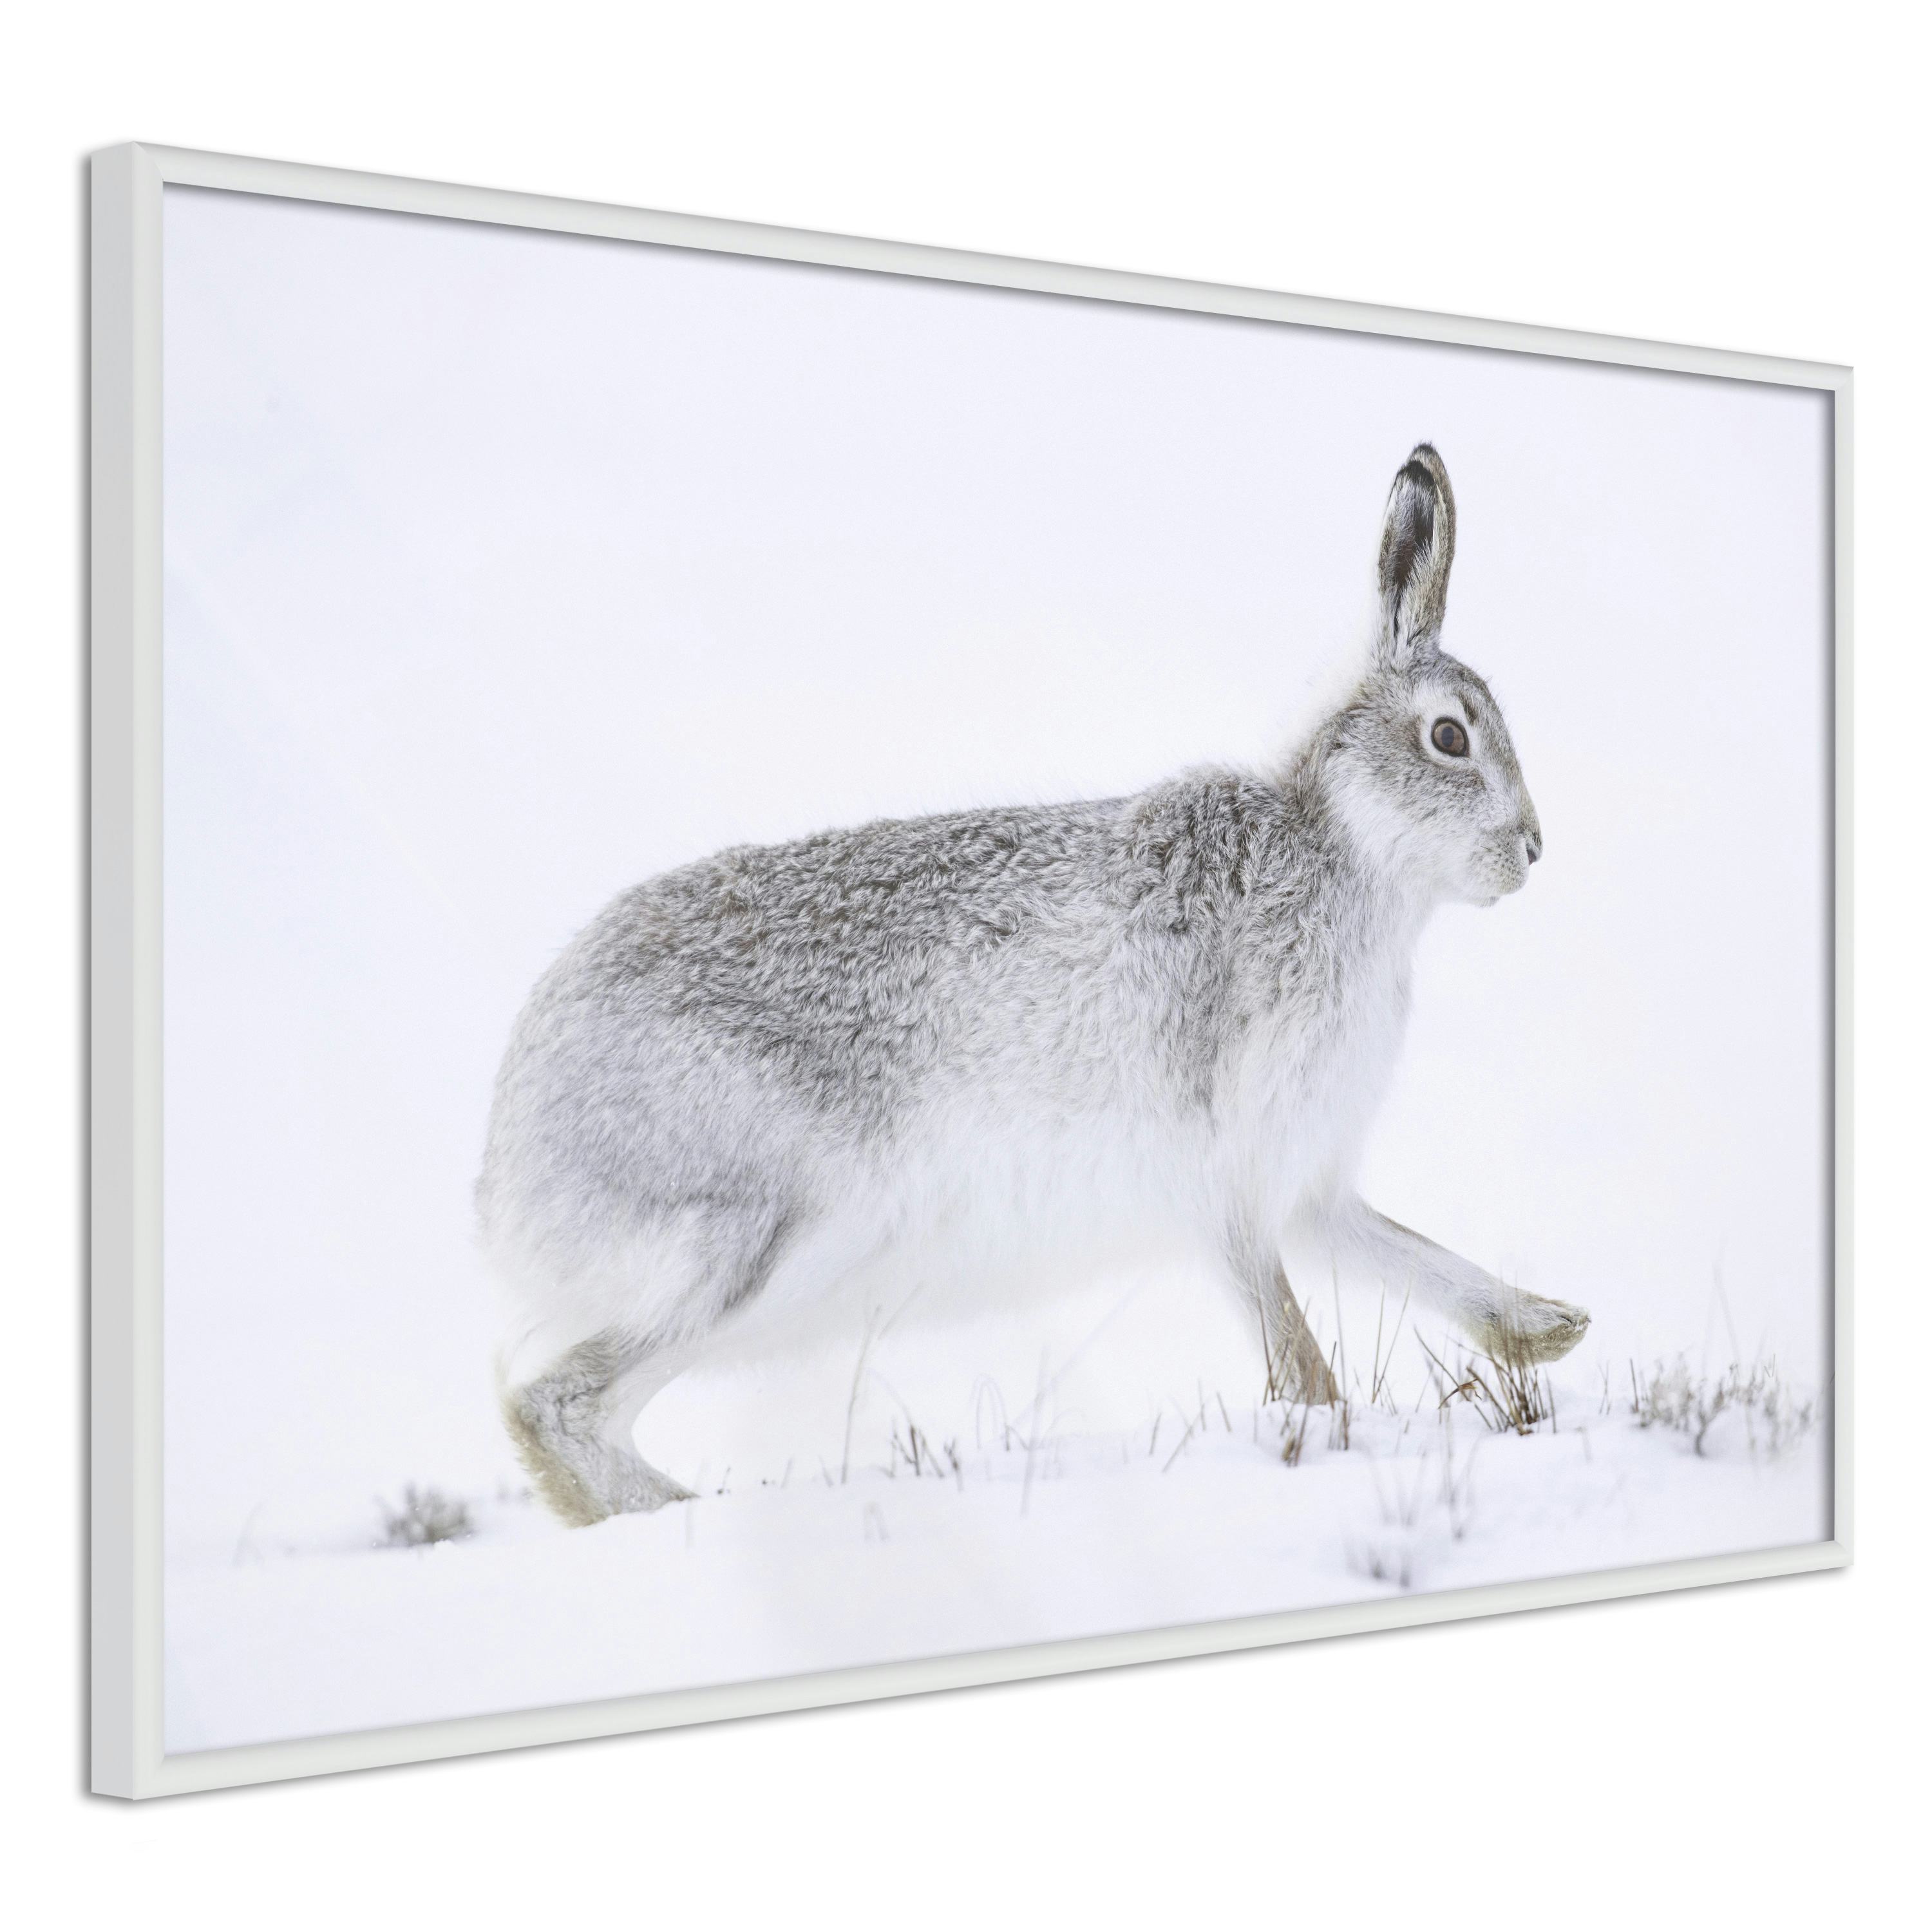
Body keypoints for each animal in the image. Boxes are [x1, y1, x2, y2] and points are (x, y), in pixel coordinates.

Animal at [478, 443, 1589, 1527]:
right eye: (1450, 737)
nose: (1534, 849)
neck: (1346, 852)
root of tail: (508, 1163)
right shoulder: (1227, 1173)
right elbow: (1293, 1348)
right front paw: (1331, 1433)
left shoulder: (1309, 1184)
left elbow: (1411, 1256)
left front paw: (1551, 1329)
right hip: (763, 1240)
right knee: (553, 1406)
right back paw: (687, 1514)